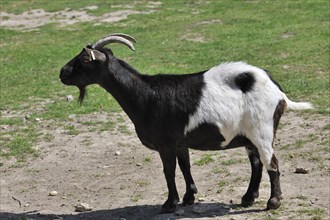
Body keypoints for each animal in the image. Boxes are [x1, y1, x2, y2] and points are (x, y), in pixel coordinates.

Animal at [60, 33, 312, 213]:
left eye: (84, 59)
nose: (62, 72)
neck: (146, 95)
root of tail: (278, 92)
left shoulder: (166, 143)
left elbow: (169, 171)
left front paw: (169, 203)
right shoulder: (180, 142)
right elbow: (185, 167)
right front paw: (189, 197)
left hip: (262, 131)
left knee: (272, 163)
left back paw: (273, 202)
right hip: (249, 135)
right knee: (257, 164)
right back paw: (248, 198)